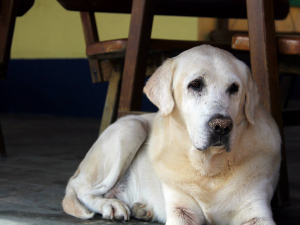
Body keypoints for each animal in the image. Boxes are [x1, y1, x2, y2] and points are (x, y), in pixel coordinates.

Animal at [62, 45, 280, 225]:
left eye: (234, 88)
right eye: (196, 84)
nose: (222, 126)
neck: (209, 169)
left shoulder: (255, 210)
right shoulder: (181, 210)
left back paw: (141, 209)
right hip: (131, 127)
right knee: (79, 189)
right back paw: (110, 205)